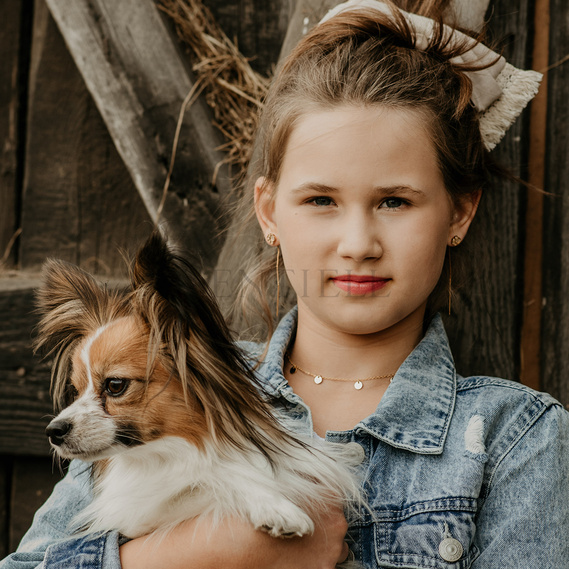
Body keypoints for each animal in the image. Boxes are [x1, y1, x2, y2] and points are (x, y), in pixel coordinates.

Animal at [37, 232, 362, 540]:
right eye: (76, 389)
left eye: (115, 385)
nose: (53, 431)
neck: (169, 454)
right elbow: (213, 478)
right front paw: (273, 506)